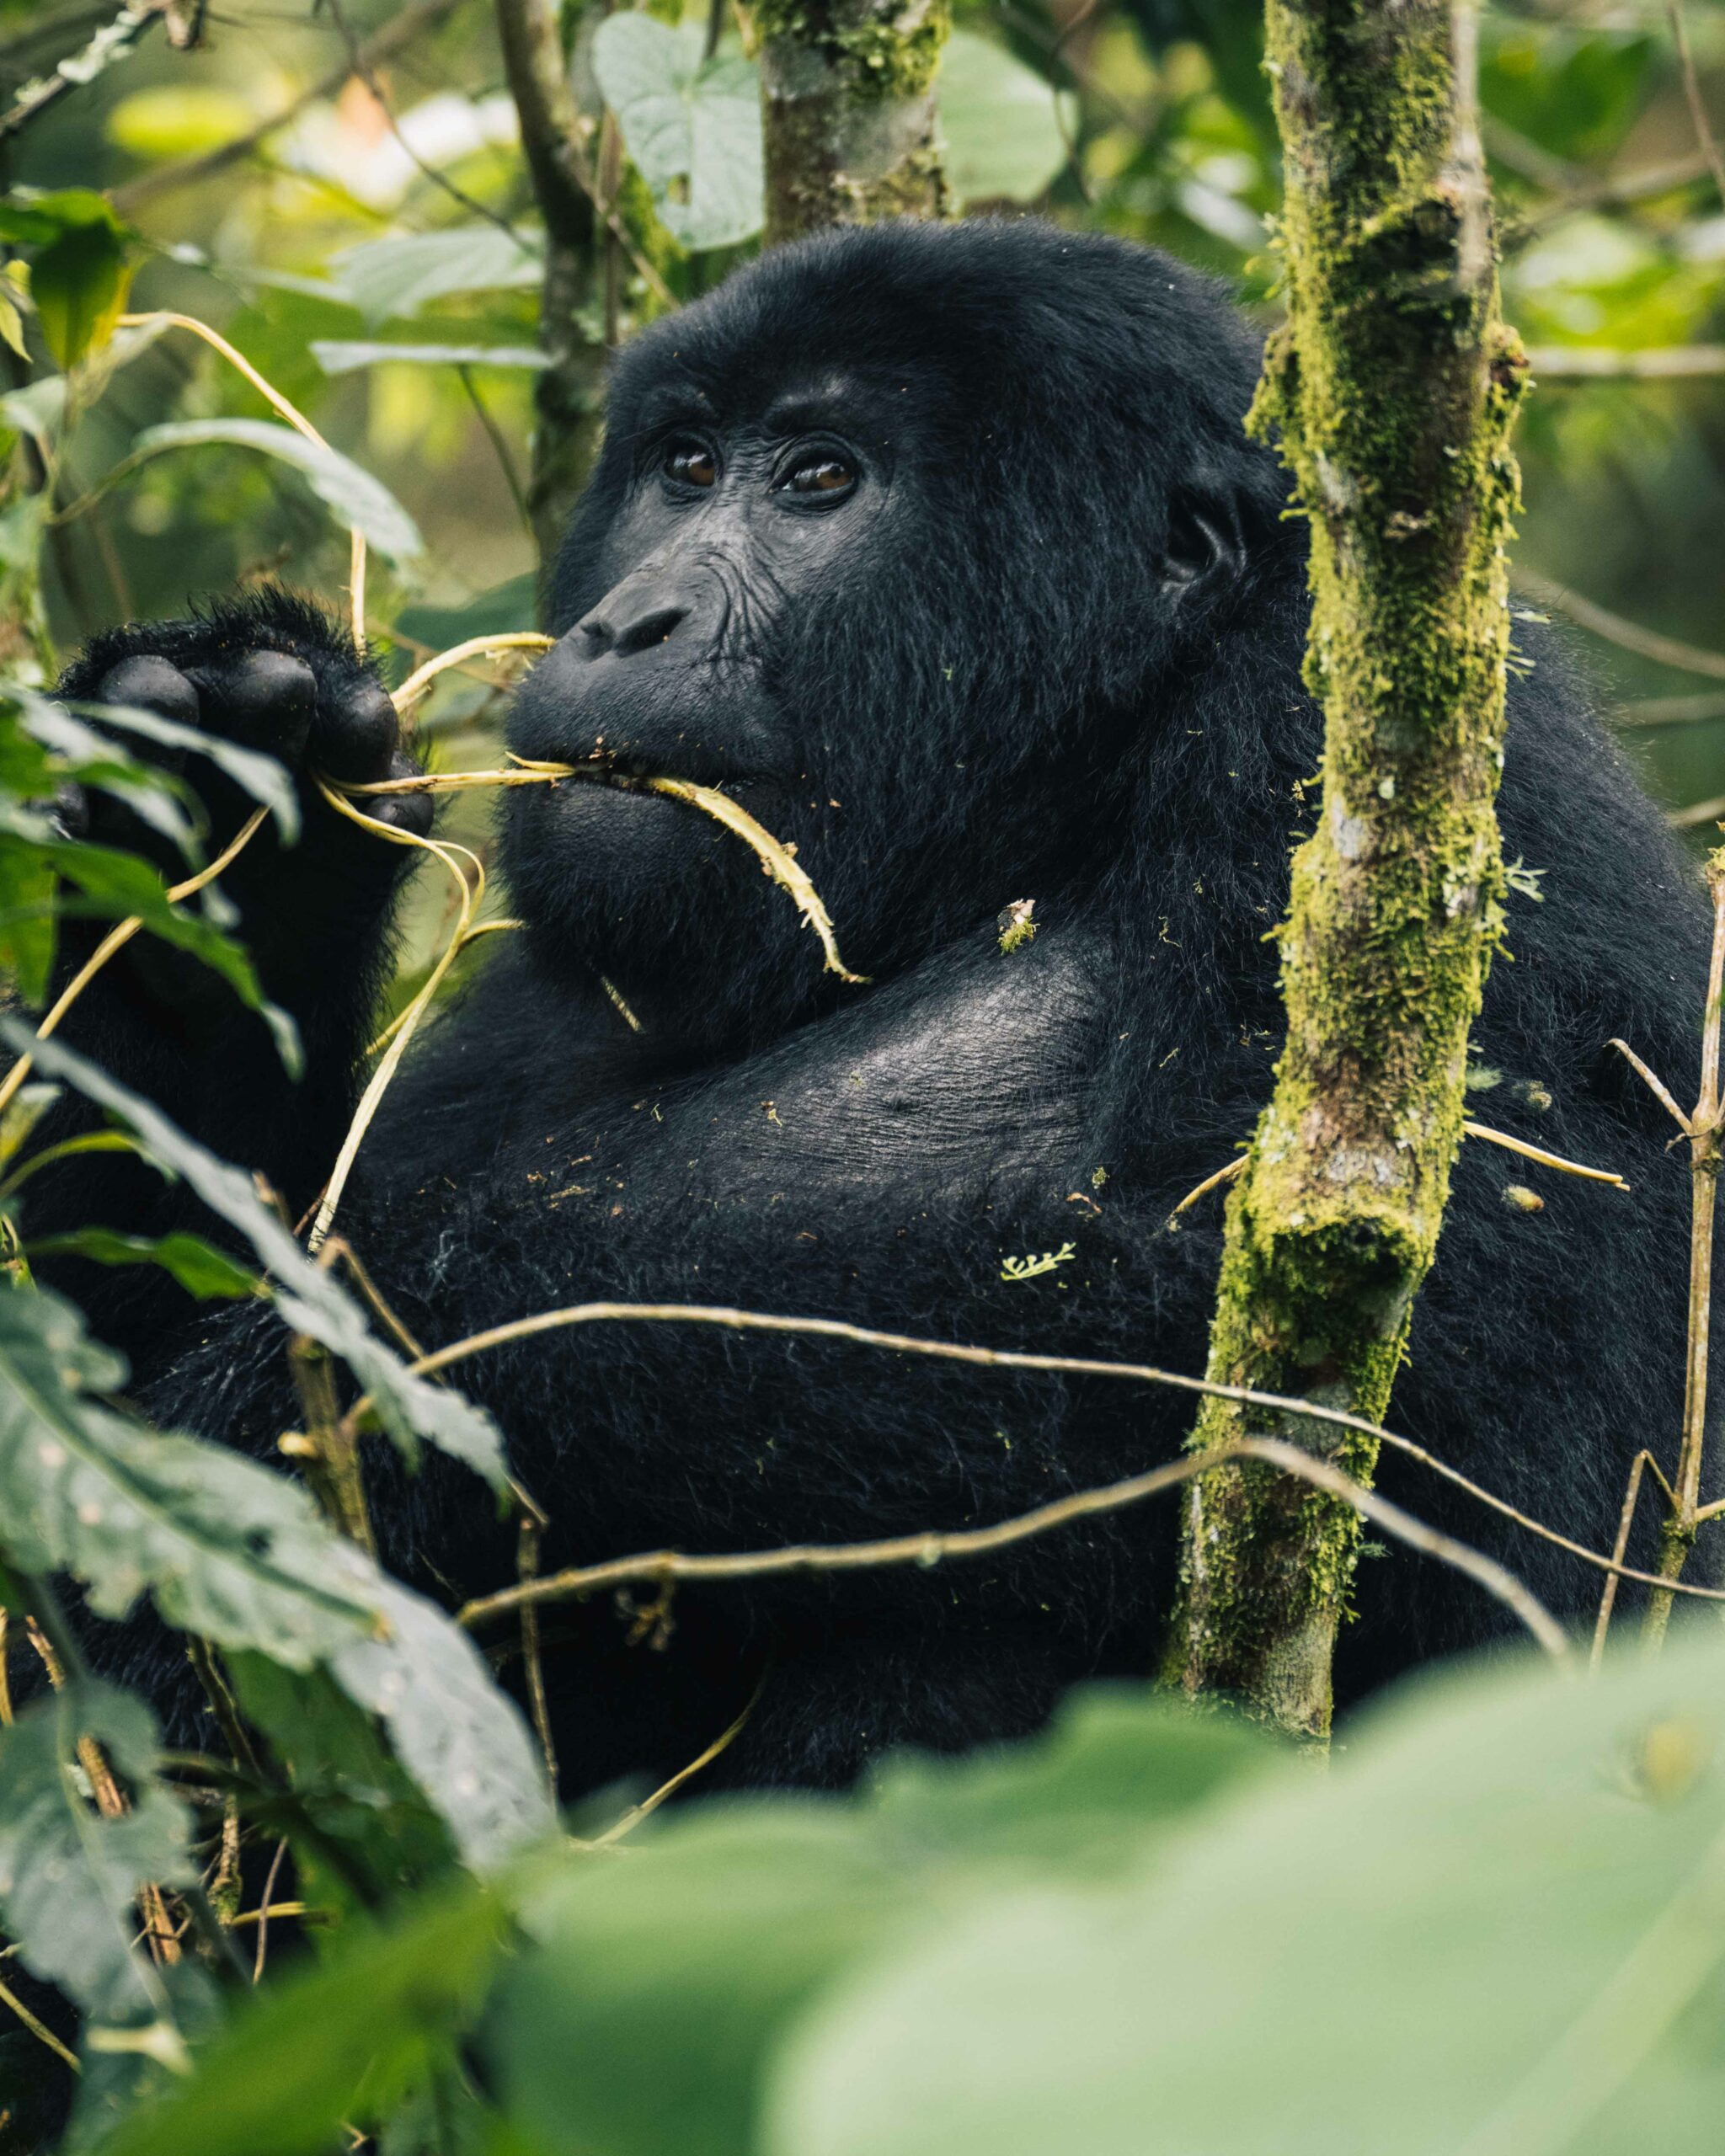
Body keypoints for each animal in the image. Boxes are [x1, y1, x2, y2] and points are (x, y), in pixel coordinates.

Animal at [37, 214, 1707, 1785]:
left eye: (820, 481)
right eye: (685, 466)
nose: (625, 624)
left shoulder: (1367, 780)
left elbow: (1415, 1369)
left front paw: (316, 1400)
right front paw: (226, 840)